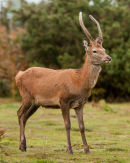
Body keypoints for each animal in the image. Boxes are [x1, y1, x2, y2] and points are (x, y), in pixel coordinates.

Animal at [15, 12, 110, 153]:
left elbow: (82, 126)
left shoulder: (80, 104)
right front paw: (69, 149)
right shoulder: (63, 100)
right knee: (19, 113)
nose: (109, 58)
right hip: (26, 96)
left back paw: (24, 145)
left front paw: (87, 149)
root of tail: (19, 75)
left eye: (104, 49)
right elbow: (67, 125)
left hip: (36, 102)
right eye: (94, 50)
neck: (79, 83)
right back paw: (21, 145)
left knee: (25, 117)